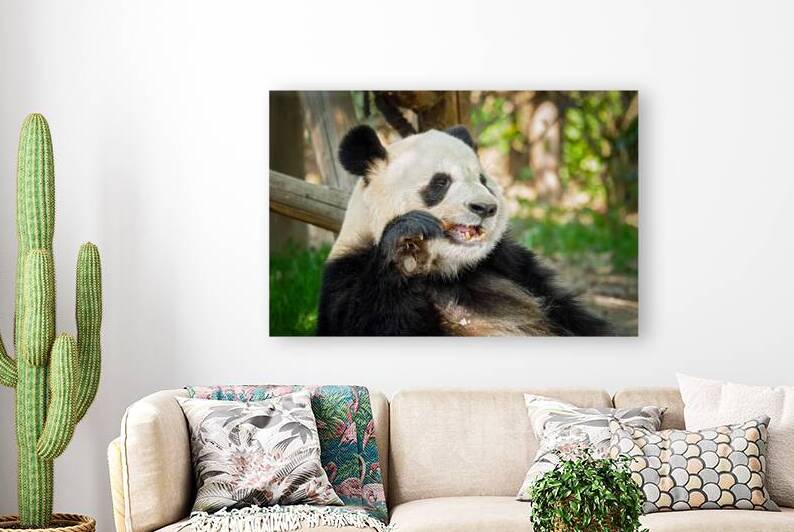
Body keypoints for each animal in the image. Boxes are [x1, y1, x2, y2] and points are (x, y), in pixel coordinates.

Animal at [316, 124, 611, 336]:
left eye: (483, 181)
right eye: (441, 182)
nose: (485, 208)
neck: (447, 272)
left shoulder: (513, 265)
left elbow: (576, 318)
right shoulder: (348, 274)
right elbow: (366, 322)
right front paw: (406, 242)